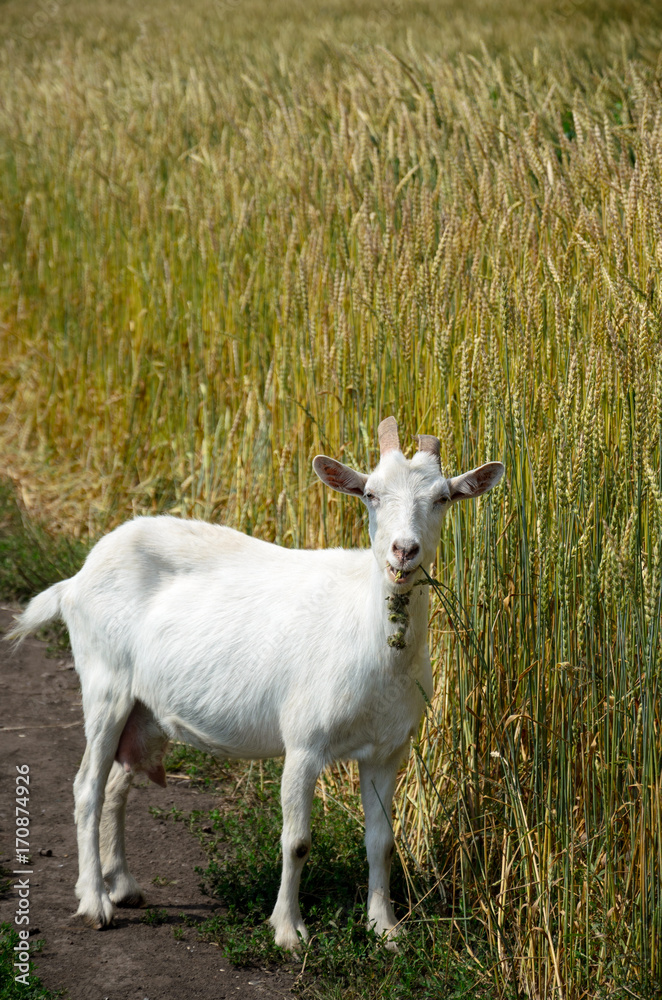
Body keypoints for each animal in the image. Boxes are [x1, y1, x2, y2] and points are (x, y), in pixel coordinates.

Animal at [7, 417, 503, 951]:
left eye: (443, 498)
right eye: (370, 493)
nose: (404, 551)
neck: (366, 630)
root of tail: (76, 579)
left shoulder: (388, 750)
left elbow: (382, 841)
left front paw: (385, 928)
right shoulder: (304, 742)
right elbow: (298, 840)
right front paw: (289, 930)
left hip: (145, 709)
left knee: (119, 784)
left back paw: (121, 885)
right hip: (105, 686)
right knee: (88, 787)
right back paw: (95, 903)